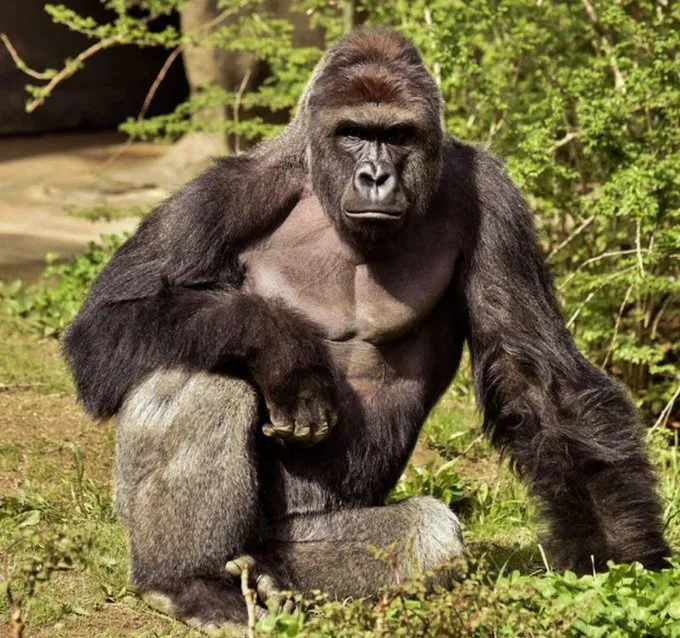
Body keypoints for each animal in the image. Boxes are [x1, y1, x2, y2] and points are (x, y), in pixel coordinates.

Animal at [62, 27, 671, 628]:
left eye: (397, 135)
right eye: (353, 133)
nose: (375, 176)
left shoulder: (495, 202)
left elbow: (537, 377)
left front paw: (620, 557)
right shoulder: (225, 192)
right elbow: (104, 325)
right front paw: (283, 348)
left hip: (303, 533)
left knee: (425, 534)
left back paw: (272, 577)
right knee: (200, 370)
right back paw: (186, 581)